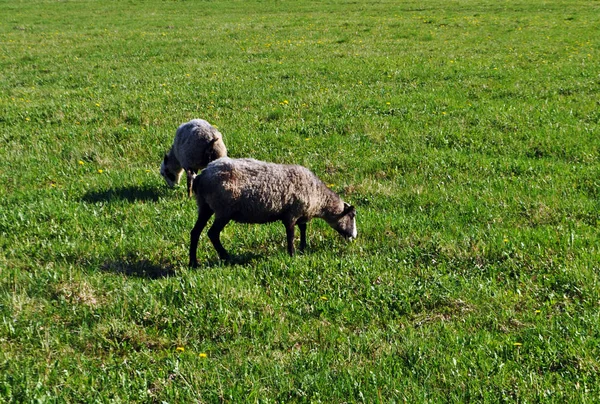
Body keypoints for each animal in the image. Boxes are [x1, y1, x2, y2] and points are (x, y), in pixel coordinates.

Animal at [188, 158, 356, 268]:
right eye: (353, 216)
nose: (354, 236)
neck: (318, 197)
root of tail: (201, 176)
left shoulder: (300, 214)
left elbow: (303, 229)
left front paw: (303, 248)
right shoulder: (291, 214)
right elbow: (291, 235)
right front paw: (292, 254)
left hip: (205, 206)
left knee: (195, 232)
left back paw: (193, 263)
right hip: (223, 209)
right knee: (212, 233)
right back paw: (226, 257)